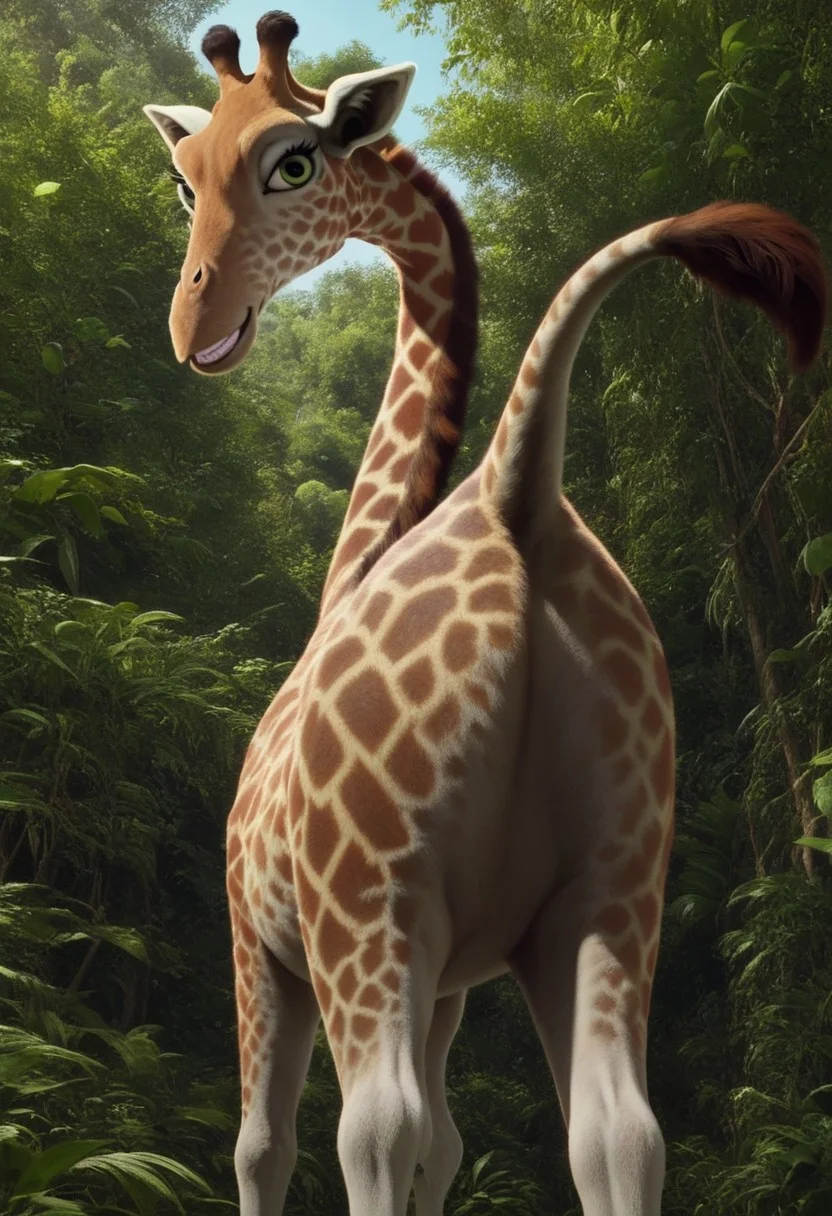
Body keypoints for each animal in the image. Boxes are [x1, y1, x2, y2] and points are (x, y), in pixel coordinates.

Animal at [143, 12, 828, 1216]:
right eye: (184, 181)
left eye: (293, 161)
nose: (197, 324)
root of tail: (521, 494)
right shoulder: (460, 968)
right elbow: (452, 1146)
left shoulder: (262, 936)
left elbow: (266, 1144)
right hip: (611, 886)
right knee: (616, 1130)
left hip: (370, 901)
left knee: (373, 1126)